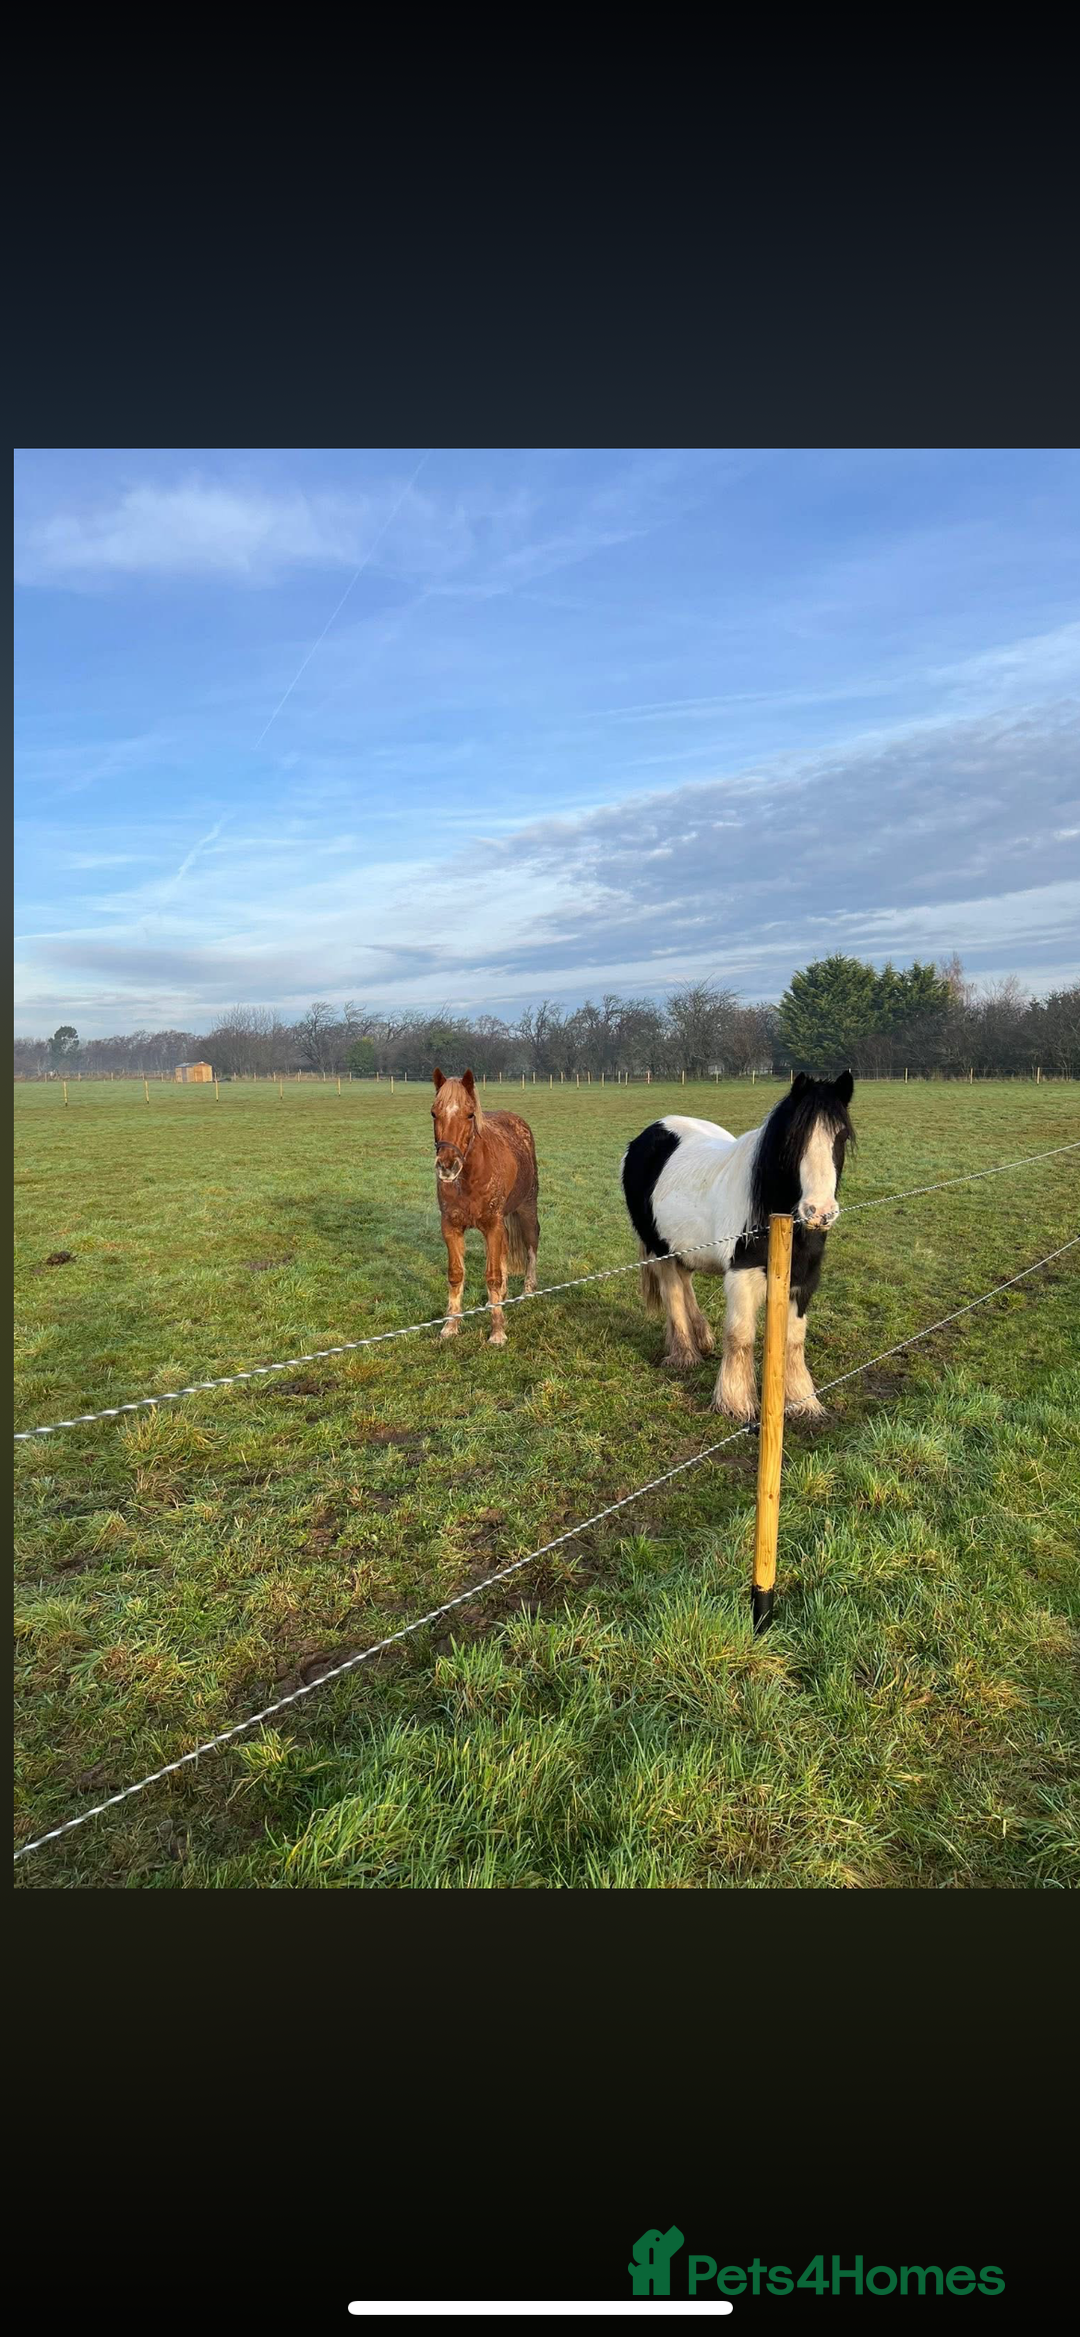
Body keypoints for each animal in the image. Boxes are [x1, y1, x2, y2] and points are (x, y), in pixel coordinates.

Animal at [431, 1067, 540, 1346]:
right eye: (434, 1112)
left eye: (470, 1114)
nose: (447, 1166)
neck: (469, 1178)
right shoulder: (451, 1227)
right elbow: (456, 1274)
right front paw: (451, 1326)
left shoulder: (492, 1226)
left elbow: (492, 1276)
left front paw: (498, 1331)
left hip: (527, 1207)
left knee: (532, 1242)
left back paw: (528, 1290)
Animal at [620, 1071, 855, 1421]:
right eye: (794, 1139)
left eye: (840, 1137)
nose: (819, 1212)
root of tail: (648, 1135)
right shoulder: (741, 1276)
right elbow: (740, 1336)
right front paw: (735, 1403)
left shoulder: (804, 1280)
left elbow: (794, 1340)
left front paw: (802, 1401)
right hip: (659, 1248)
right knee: (672, 1290)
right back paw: (685, 1354)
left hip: (684, 1248)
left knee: (684, 1281)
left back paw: (702, 1338)